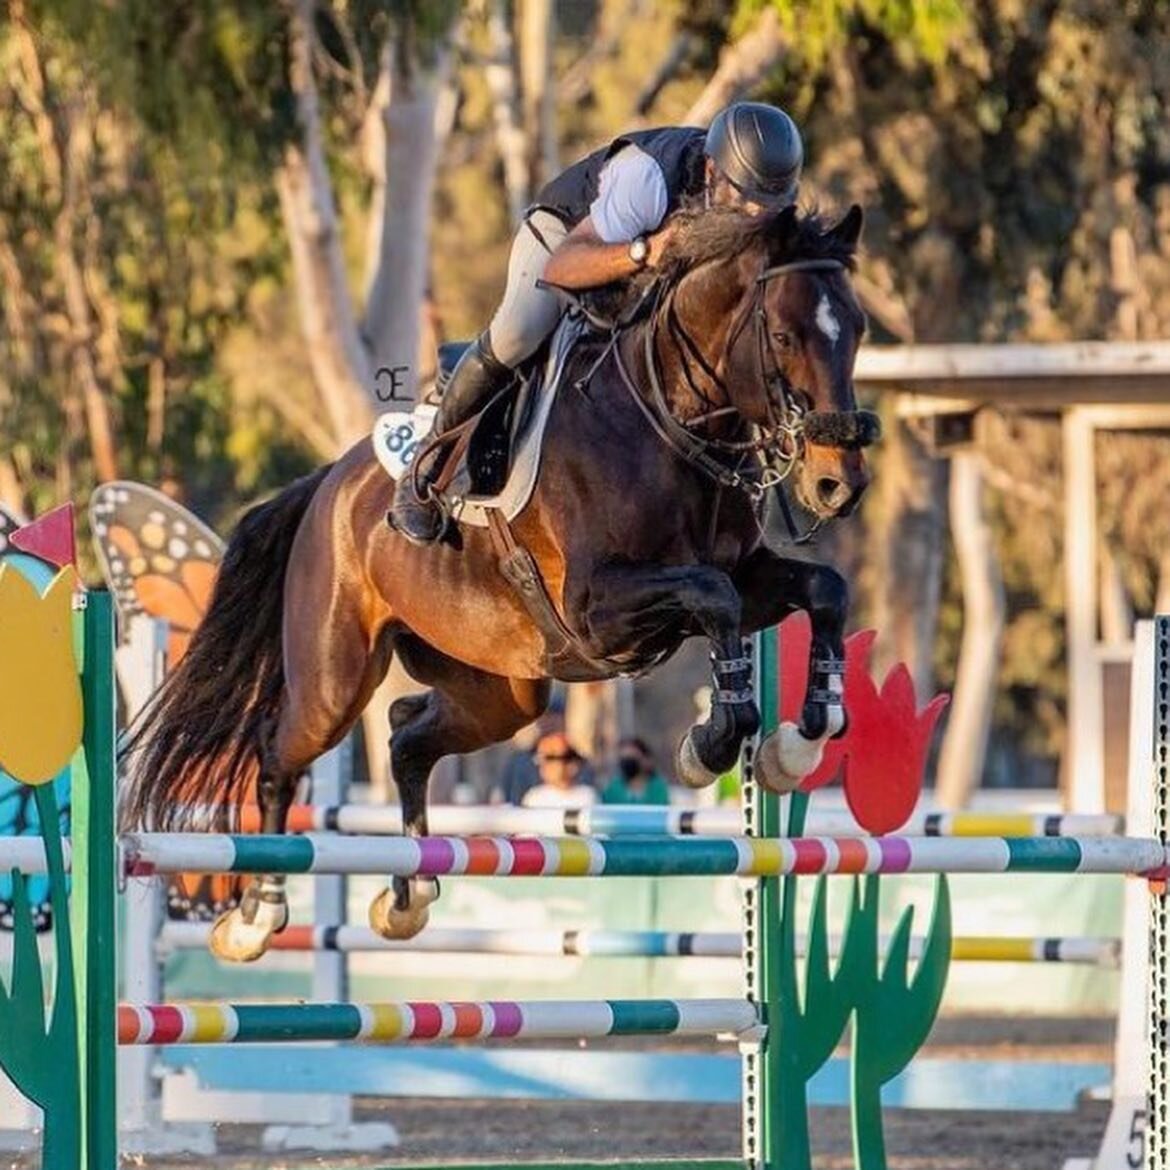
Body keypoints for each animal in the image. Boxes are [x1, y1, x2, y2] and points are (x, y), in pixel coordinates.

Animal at [125, 205, 879, 964]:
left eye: (857, 330)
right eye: (783, 335)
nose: (837, 484)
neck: (671, 425)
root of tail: (326, 485)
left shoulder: (746, 577)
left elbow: (823, 591)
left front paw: (799, 744)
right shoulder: (596, 608)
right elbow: (713, 599)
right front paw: (711, 746)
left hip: (501, 690)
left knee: (406, 737)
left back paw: (408, 896)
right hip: (334, 682)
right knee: (278, 754)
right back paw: (256, 915)